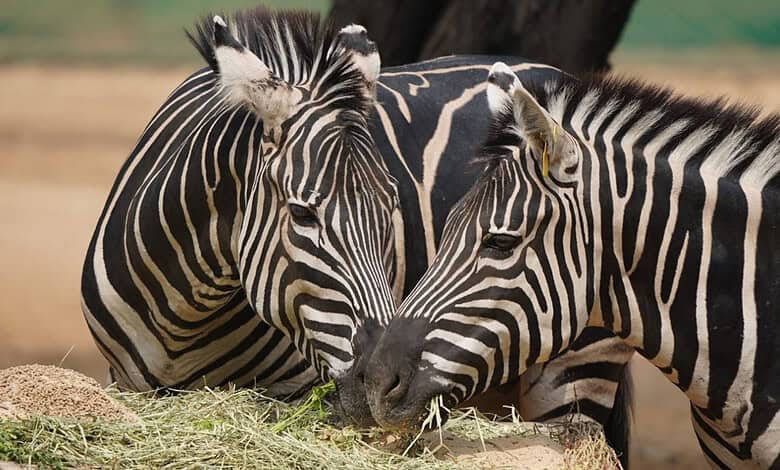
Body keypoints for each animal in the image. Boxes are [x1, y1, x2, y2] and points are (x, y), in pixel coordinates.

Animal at [80, 7, 632, 453]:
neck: (187, 317)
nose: (375, 382)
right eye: (303, 214)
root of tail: (552, 72)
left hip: (576, 364)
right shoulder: (121, 385)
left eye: (392, 207)